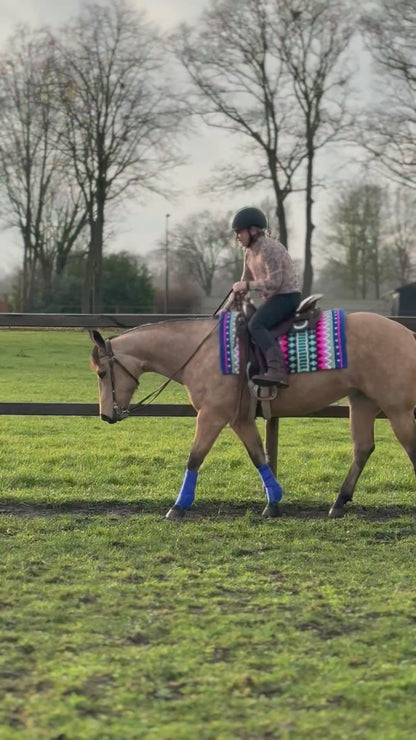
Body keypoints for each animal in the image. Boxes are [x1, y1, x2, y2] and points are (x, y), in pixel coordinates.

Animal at [90, 310, 416, 519]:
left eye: (102, 373)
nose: (106, 415)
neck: (200, 352)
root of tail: (407, 334)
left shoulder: (211, 416)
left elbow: (195, 457)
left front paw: (178, 507)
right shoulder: (240, 419)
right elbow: (258, 455)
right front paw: (273, 503)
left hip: (397, 410)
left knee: (408, 448)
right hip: (361, 402)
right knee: (363, 448)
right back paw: (338, 502)